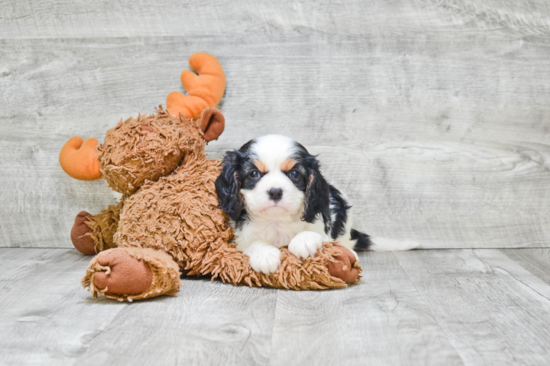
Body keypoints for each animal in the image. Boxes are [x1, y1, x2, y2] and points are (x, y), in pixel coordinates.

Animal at [216, 135, 418, 274]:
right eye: (254, 174)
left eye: (295, 174)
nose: (275, 191)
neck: (277, 221)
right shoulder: (240, 238)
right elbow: (251, 244)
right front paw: (264, 254)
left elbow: (318, 234)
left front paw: (303, 240)